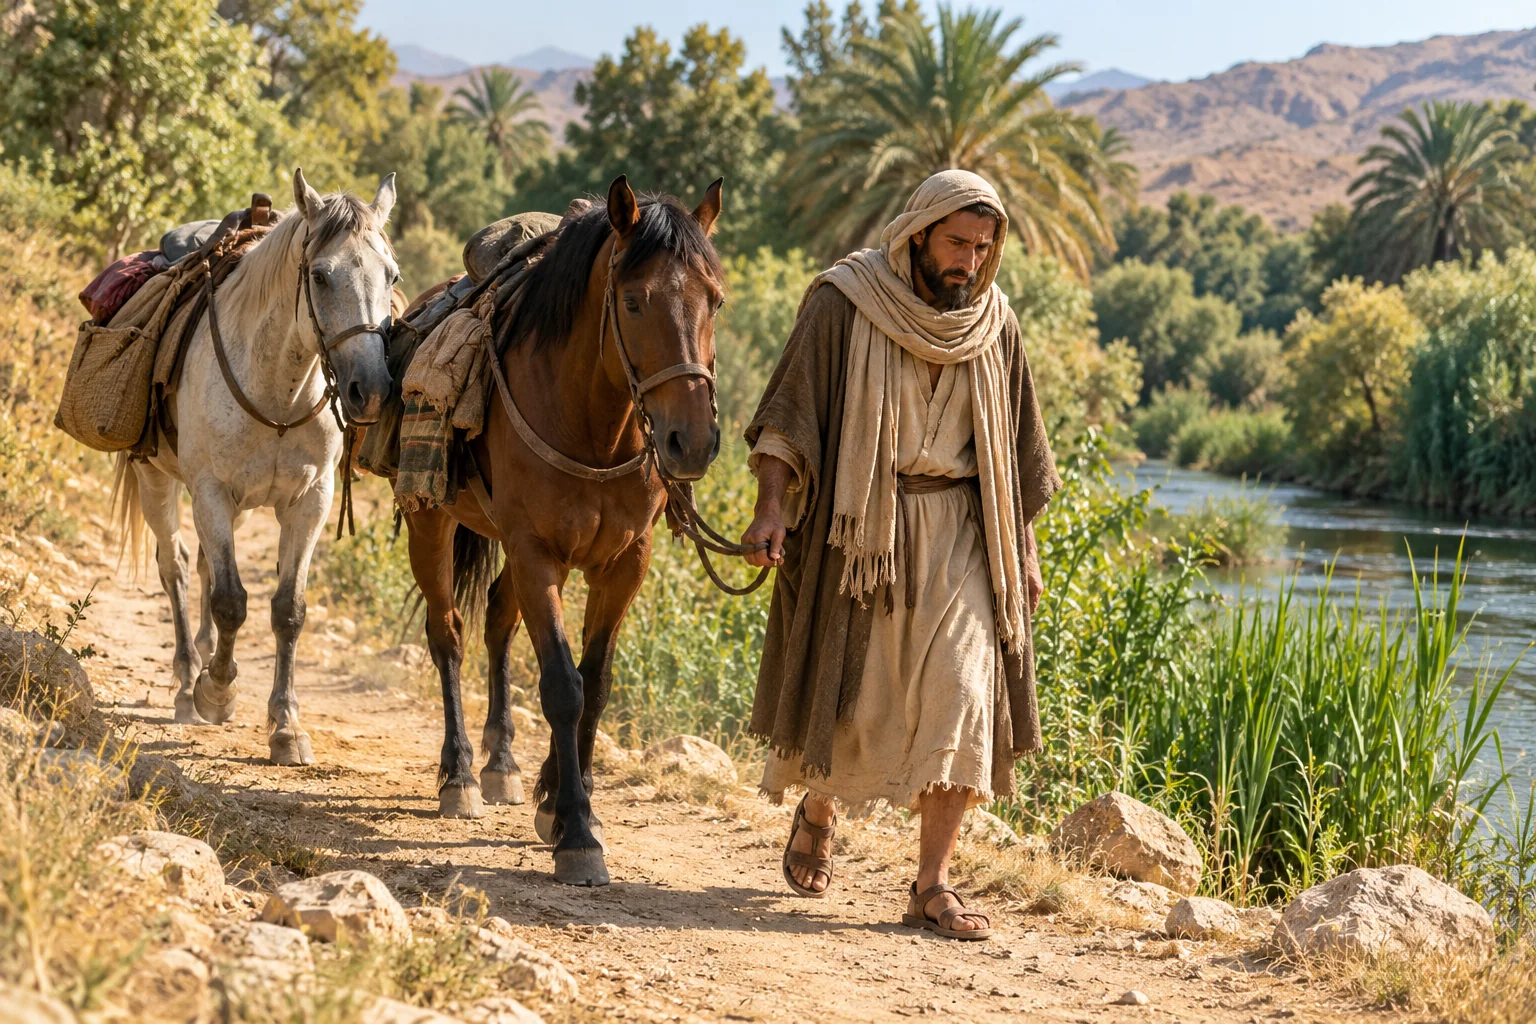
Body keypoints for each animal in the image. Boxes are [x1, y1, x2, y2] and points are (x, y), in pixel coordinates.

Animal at [116, 168, 398, 765]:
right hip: (157, 479)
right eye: (319, 276)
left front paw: (286, 727)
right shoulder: (211, 492)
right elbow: (230, 602)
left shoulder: (310, 502)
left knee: (201, 565)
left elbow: (288, 610)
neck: (279, 394)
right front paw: (217, 692)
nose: (371, 391)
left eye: (392, 274)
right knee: (176, 566)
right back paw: (187, 681)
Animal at [403, 174, 725, 886]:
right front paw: (576, 830)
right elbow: (561, 686)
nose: (691, 442)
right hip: (430, 520)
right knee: (449, 635)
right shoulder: (537, 553)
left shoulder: (626, 562)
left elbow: (595, 682)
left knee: (497, 622)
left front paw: (558, 799)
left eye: (714, 299)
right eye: (633, 301)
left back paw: (501, 764)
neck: (594, 426)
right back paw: (459, 775)